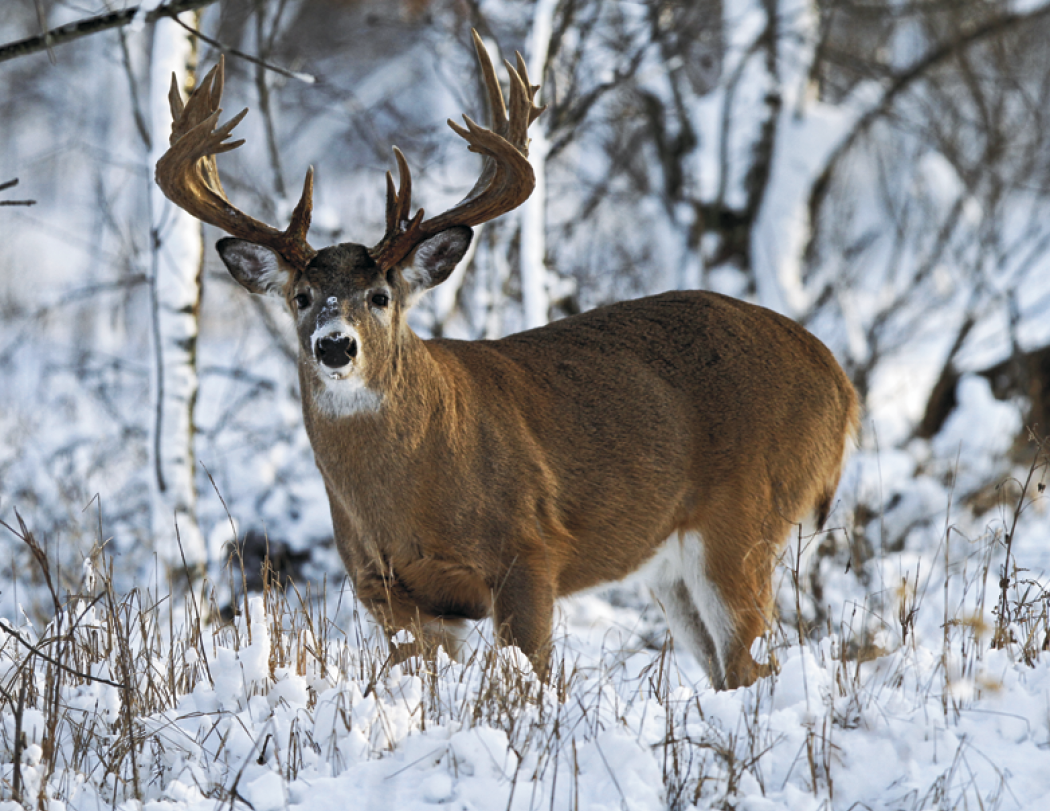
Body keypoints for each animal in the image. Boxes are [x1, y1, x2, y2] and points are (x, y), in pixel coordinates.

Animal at [155, 32, 859, 690]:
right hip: (673, 564)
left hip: (747, 519)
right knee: (725, 670)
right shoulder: (387, 589)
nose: (334, 344)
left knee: (753, 664)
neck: (410, 491)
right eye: (300, 297)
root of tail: (839, 381)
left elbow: (534, 677)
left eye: (381, 295)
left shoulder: (530, 552)